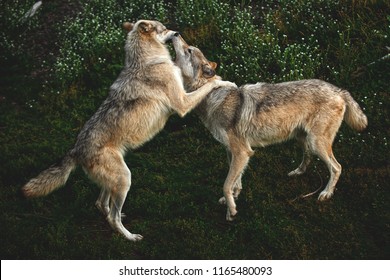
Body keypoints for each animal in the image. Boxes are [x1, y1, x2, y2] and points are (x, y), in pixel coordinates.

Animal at [22, 19, 236, 241]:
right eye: (164, 28)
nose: (177, 32)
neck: (148, 61)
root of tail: (76, 149)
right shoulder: (183, 103)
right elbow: (206, 86)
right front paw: (223, 81)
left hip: (116, 180)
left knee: (102, 205)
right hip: (125, 179)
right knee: (113, 216)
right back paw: (130, 236)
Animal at [172, 36, 368, 221]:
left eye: (189, 50)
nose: (175, 33)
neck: (212, 97)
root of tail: (339, 90)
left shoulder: (242, 152)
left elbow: (226, 184)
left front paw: (231, 211)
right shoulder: (234, 152)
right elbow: (236, 182)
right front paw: (233, 199)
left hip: (316, 142)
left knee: (337, 167)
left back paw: (326, 193)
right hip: (302, 138)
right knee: (308, 157)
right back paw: (297, 172)